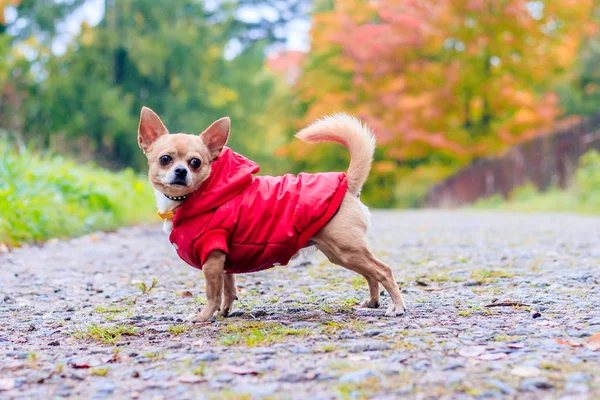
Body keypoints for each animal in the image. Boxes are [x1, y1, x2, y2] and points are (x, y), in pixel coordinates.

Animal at [137, 107, 408, 322]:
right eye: (165, 159)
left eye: (195, 162)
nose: (181, 171)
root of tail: (347, 182)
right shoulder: (223, 259)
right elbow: (229, 288)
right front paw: (225, 311)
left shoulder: (211, 255)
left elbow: (213, 293)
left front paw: (204, 316)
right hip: (340, 253)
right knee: (371, 273)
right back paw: (373, 302)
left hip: (346, 249)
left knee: (383, 270)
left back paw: (397, 306)